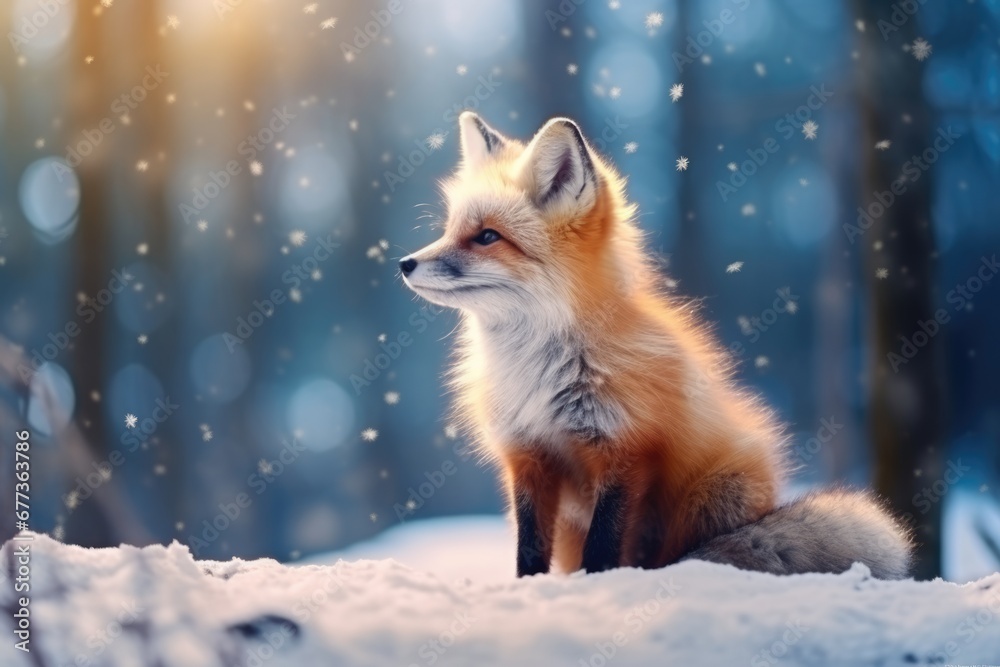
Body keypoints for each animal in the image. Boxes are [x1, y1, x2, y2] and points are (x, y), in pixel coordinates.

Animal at [400, 111, 916, 580]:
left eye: (487, 237)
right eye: (449, 230)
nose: (404, 263)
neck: (540, 373)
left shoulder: (626, 452)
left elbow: (603, 548)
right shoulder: (528, 457)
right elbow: (529, 551)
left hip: (715, 493)